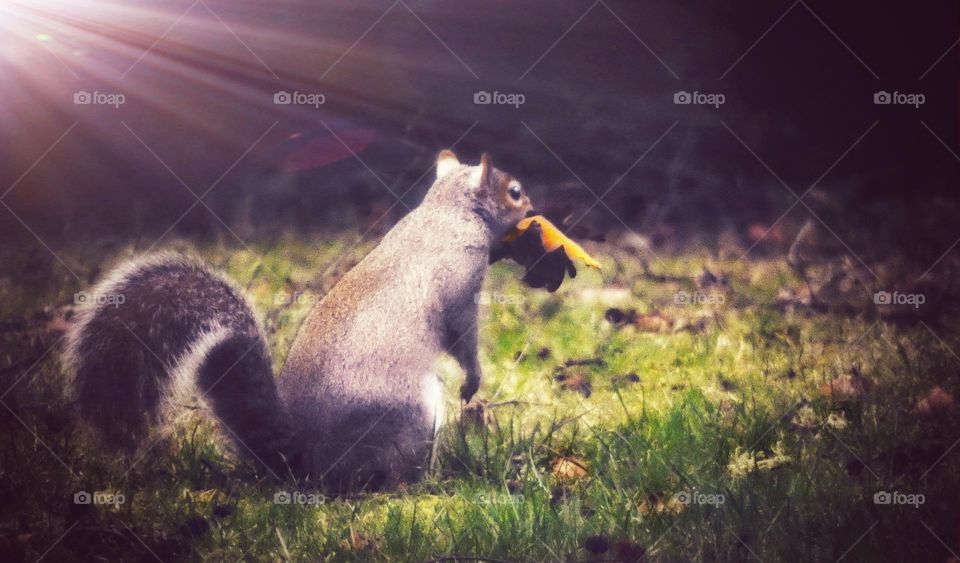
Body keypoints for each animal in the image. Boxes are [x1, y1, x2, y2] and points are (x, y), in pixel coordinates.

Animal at [64, 150, 534, 492]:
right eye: (514, 192)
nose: (534, 207)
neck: (448, 212)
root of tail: (306, 463)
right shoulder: (460, 284)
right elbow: (463, 336)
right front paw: (473, 380)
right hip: (412, 414)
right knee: (386, 475)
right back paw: (421, 484)